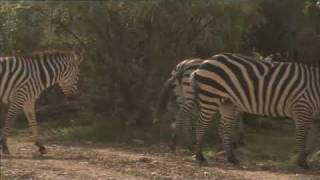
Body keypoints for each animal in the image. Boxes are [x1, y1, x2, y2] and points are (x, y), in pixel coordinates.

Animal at [185, 52, 320, 168]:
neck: (316, 87)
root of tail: (204, 62)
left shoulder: (313, 116)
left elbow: (313, 141)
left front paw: (305, 157)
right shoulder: (302, 108)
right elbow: (302, 137)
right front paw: (301, 161)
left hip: (227, 102)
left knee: (224, 128)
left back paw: (231, 158)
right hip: (211, 97)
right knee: (200, 124)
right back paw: (200, 156)